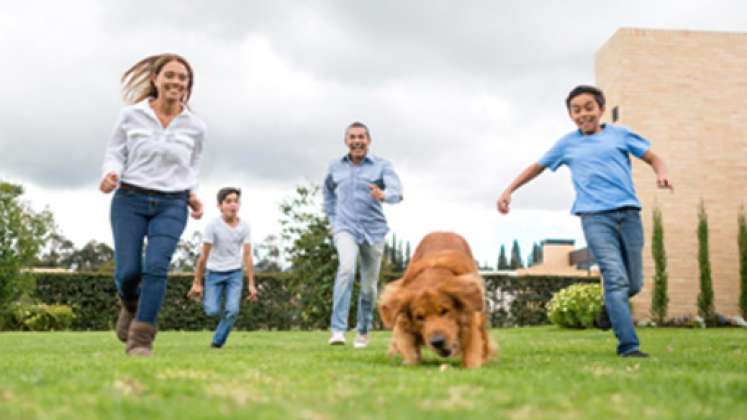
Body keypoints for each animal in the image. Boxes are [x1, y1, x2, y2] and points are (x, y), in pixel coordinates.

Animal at [380, 233, 496, 368]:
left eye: (444, 311)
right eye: (419, 317)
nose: (437, 342)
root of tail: (443, 231)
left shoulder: (470, 316)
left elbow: (472, 349)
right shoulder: (402, 320)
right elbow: (408, 348)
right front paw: (409, 360)